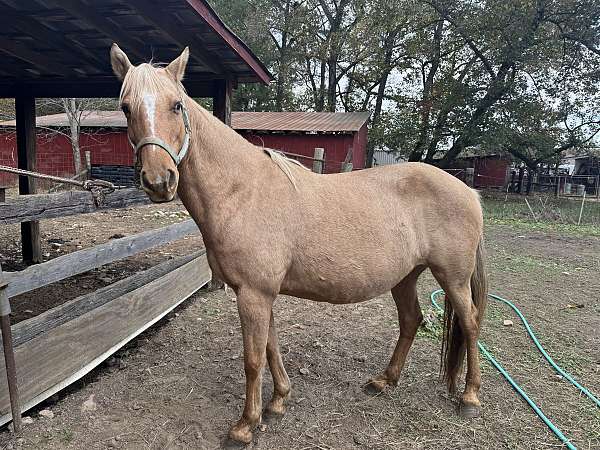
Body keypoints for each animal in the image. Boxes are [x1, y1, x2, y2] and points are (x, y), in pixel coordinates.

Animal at [111, 44, 488, 444]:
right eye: (126, 108)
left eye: (176, 105)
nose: (159, 180)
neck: (242, 192)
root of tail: (468, 191)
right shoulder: (260, 294)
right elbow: (271, 347)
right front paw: (278, 401)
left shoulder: (254, 294)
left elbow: (253, 359)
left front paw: (245, 425)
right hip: (406, 276)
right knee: (411, 320)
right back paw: (384, 381)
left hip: (453, 279)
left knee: (470, 323)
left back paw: (469, 397)